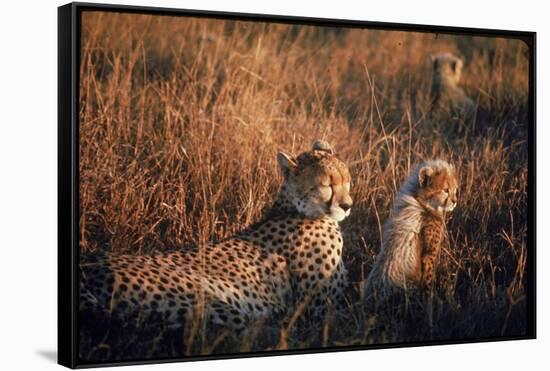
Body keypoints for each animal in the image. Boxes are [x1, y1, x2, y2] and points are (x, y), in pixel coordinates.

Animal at [80, 140, 356, 332]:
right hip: (213, 304)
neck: (297, 209)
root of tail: (89, 269)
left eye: (348, 181)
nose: (347, 206)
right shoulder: (318, 309)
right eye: (327, 185)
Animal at [364, 159, 460, 302]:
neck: (422, 203)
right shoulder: (429, 256)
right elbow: (427, 280)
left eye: (455, 190)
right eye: (445, 190)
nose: (454, 201)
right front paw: (429, 300)